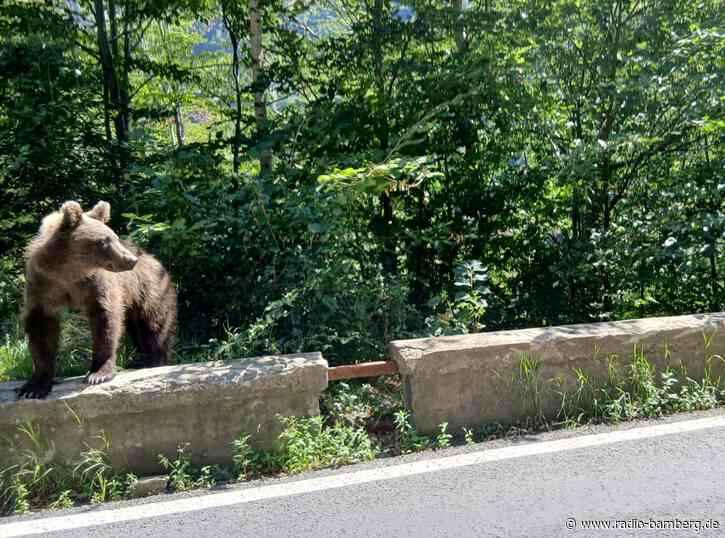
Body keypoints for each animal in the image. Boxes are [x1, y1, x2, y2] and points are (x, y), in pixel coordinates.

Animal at [17, 200, 177, 399]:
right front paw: (34, 387)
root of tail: (154, 260)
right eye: (103, 241)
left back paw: (152, 359)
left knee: (153, 326)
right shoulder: (43, 286)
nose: (131, 260)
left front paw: (98, 374)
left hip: (151, 291)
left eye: (114, 237)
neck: (68, 272)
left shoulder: (95, 285)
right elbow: (41, 330)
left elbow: (105, 320)